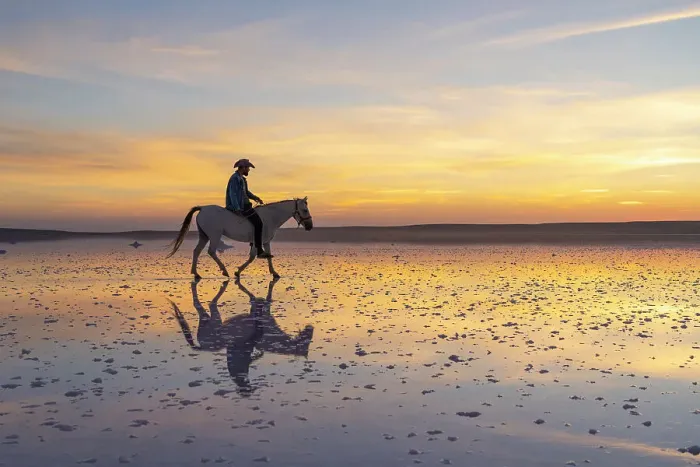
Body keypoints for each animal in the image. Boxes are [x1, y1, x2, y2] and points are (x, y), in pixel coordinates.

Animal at [167, 197, 313, 279]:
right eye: (305, 210)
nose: (310, 226)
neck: (270, 217)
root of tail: (202, 208)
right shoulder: (257, 241)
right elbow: (252, 257)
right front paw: (237, 272)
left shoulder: (265, 241)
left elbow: (268, 256)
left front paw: (274, 273)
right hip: (214, 235)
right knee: (211, 251)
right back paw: (224, 271)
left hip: (204, 235)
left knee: (196, 251)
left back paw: (196, 274)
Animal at [170, 278, 314, 390]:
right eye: (306, 343)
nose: (310, 327)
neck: (272, 338)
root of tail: (202, 346)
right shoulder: (264, 315)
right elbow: (266, 298)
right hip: (215, 319)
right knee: (207, 303)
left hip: (209, 320)